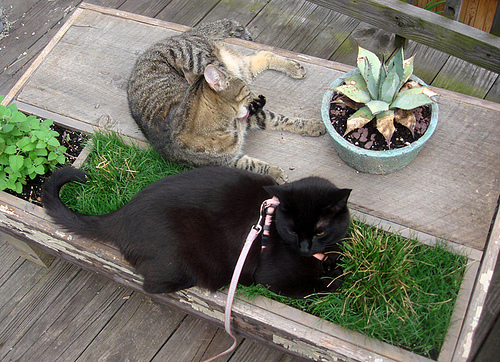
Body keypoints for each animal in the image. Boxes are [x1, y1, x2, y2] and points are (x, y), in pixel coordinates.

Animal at [43, 165, 352, 298]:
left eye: (320, 232)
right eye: (291, 230)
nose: (305, 248)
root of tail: (120, 215)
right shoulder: (273, 279)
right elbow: (317, 288)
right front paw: (336, 280)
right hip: (182, 261)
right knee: (152, 285)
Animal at [127, 19, 326, 184]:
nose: (252, 96)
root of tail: (182, 35)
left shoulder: (251, 116)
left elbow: (280, 119)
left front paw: (312, 125)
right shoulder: (228, 162)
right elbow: (253, 164)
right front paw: (275, 173)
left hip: (212, 62)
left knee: (261, 54)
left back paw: (293, 68)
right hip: (234, 67)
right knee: (259, 57)